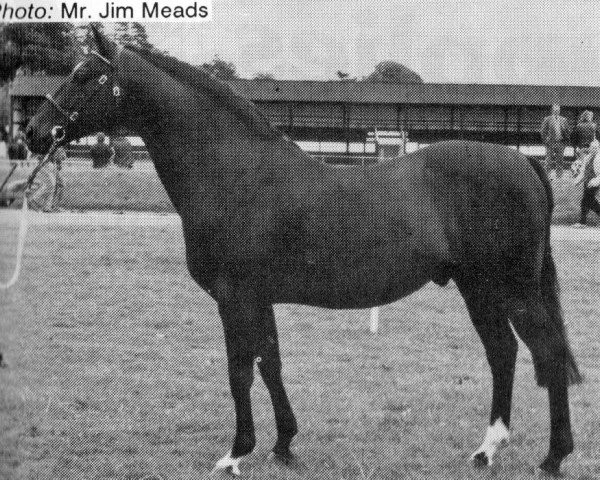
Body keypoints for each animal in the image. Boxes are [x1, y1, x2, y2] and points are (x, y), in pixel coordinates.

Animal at [24, 27, 580, 476]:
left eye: (84, 74)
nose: (33, 132)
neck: (234, 173)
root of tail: (524, 163)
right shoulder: (258, 298)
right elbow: (270, 362)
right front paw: (284, 445)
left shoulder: (234, 297)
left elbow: (240, 371)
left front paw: (235, 453)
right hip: (478, 288)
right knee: (503, 353)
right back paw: (487, 450)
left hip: (512, 288)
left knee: (547, 354)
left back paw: (553, 457)